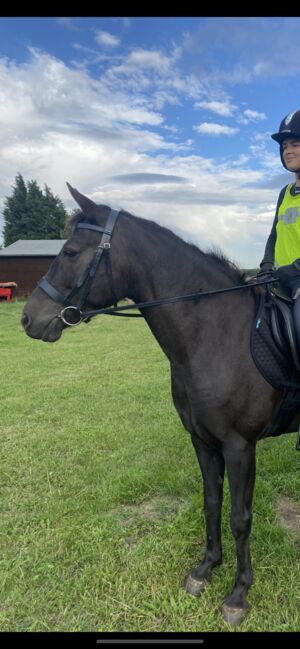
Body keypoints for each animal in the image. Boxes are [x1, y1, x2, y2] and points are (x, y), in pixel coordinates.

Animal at [21, 182, 298, 624]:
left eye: (70, 252)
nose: (28, 319)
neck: (215, 336)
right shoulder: (202, 440)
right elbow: (211, 503)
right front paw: (205, 569)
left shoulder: (240, 447)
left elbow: (240, 518)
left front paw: (238, 594)